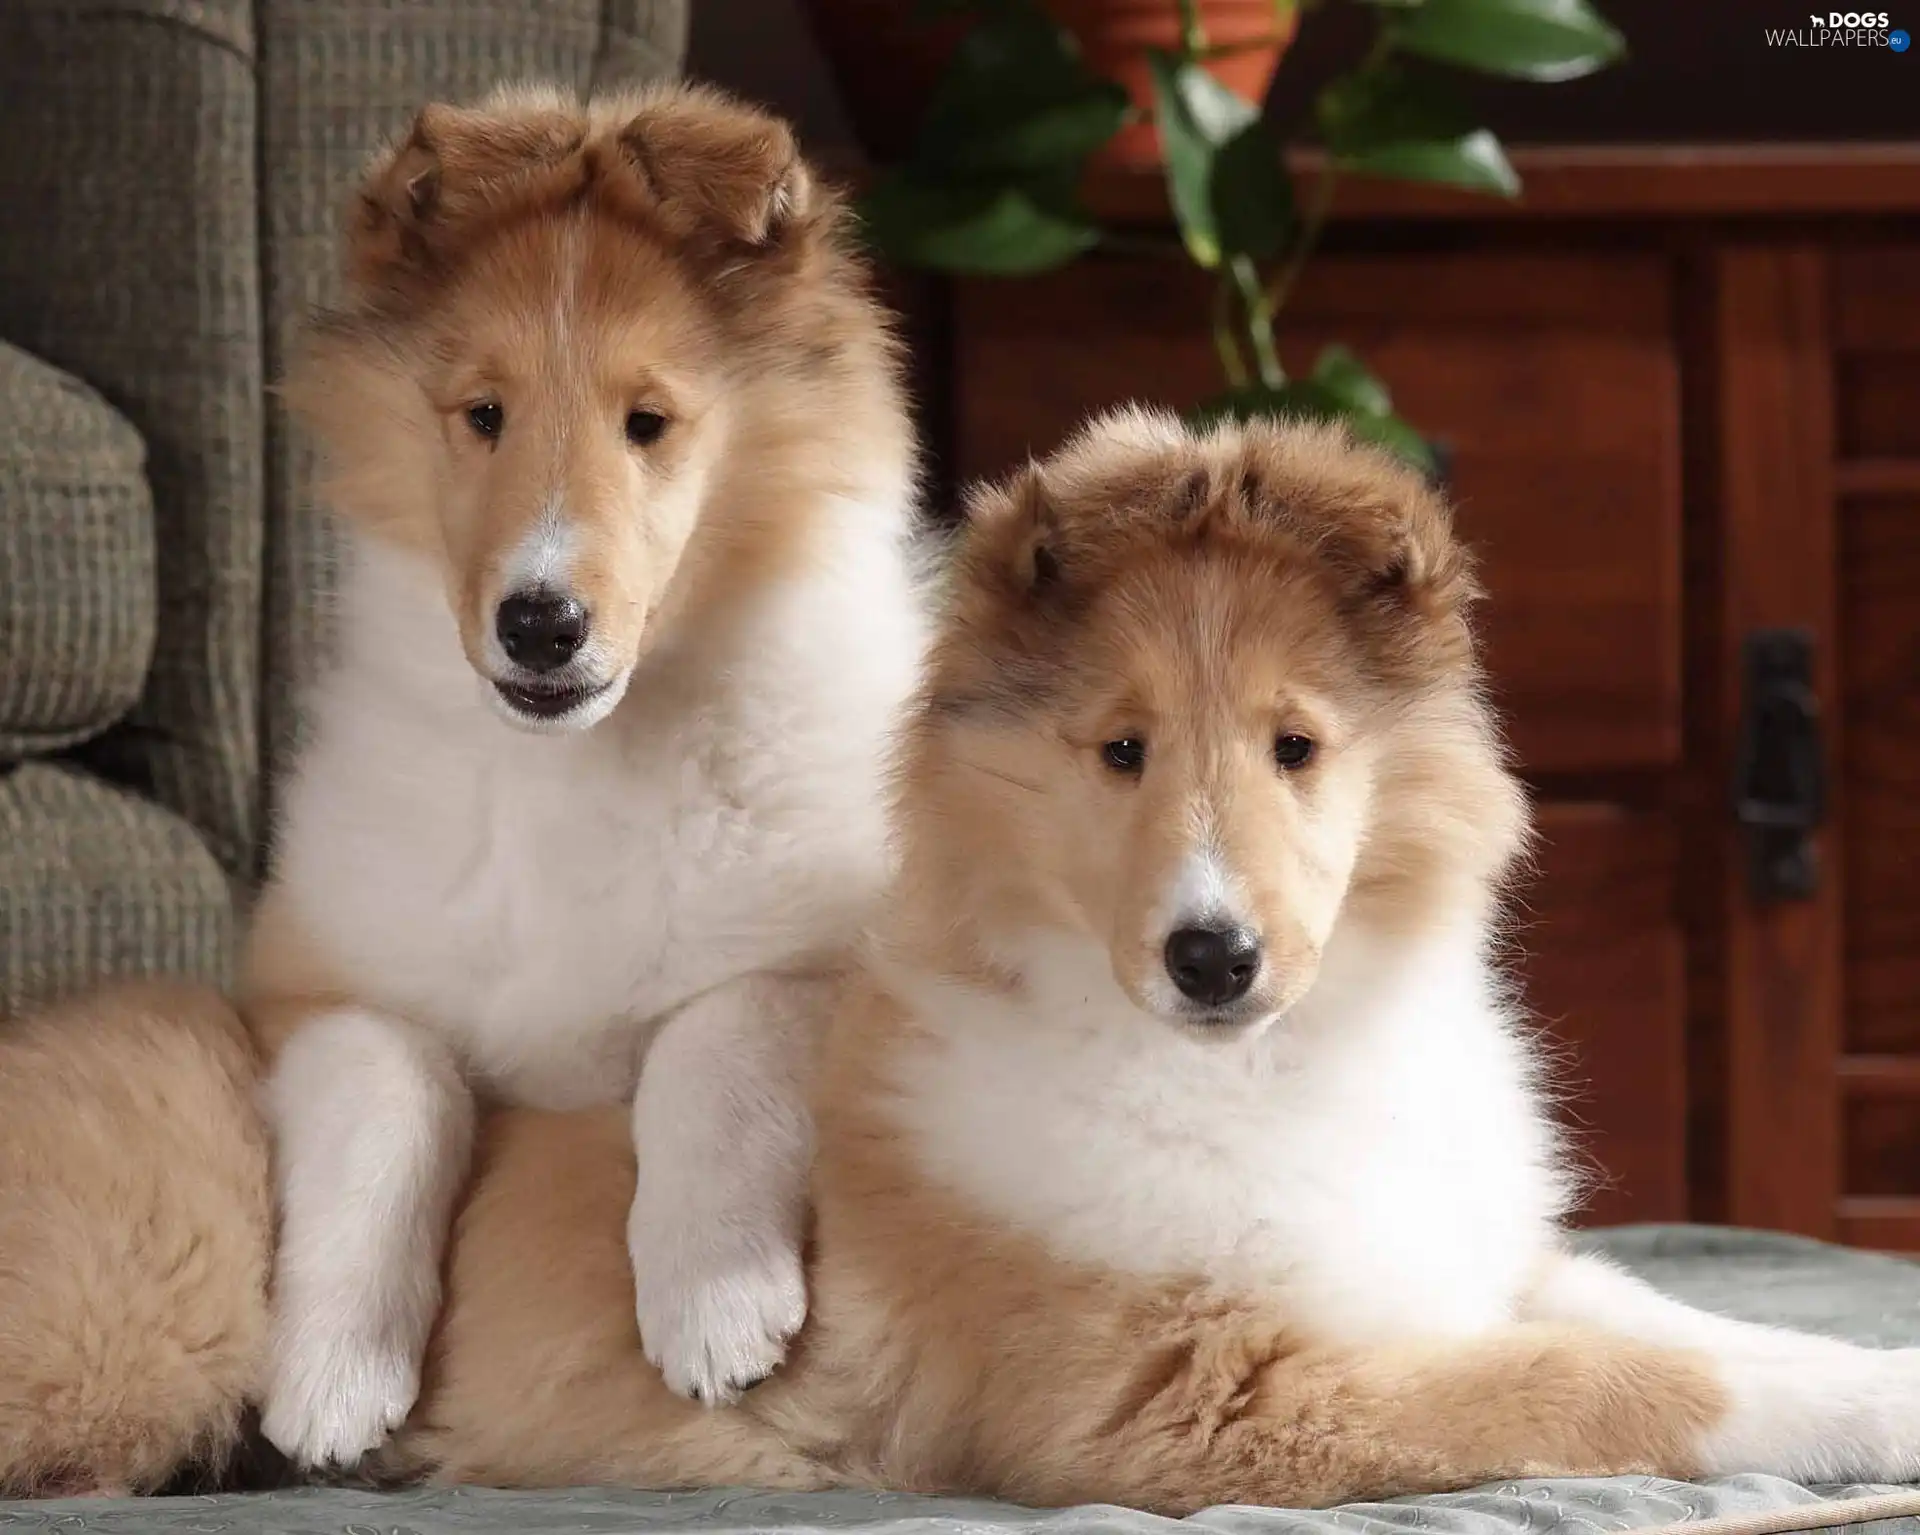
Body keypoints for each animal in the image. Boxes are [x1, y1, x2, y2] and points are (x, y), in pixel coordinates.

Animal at [240, 81, 921, 1467]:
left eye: (647, 422)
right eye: (482, 414)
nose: (542, 623)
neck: (573, 765)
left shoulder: (840, 953)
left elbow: (716, 1031)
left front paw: (715, 1301)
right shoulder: (314, 982)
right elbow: (389, 1092)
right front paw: (331, 1376)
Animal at [378, 411, 1920, 1513]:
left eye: (1295, 745)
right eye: (1121, 749)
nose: (1212, 955)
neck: (1268, 1065)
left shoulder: (1463, 1263)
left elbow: (1680, 1319)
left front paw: (1879, 1368)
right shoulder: (1192, 1398)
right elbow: (1611, 1379)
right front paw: (1883, 1409)